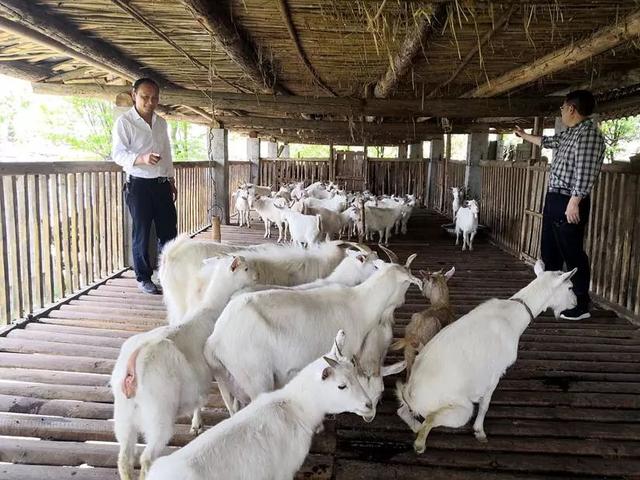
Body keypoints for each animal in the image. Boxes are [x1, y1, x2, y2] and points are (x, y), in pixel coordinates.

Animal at [114, 256, 256, 480]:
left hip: (123, 415)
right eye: (246, 268)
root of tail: (133, 365)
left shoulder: (198, 380)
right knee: (146, 458)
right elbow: (219, 399)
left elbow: (198, 401)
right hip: (158, 413)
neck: (209, 309)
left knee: (124, 459)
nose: (257, 277)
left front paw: (196, 424)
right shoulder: (214, 372)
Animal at [205, 255, 420, 416]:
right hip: (256, 376)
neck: (361, 303)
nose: (402, 302)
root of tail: (215, 339)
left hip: (227, 380)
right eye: (406, 284)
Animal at [398, 262, 576, 454]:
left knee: (403, 413)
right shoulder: (495, 372)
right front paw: (480, 431)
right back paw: (419, 444)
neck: (513, 315)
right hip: (461, 410)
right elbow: (485, 404)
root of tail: (412, 397)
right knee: (430, 421)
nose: (575, 302)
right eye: (570, 287)